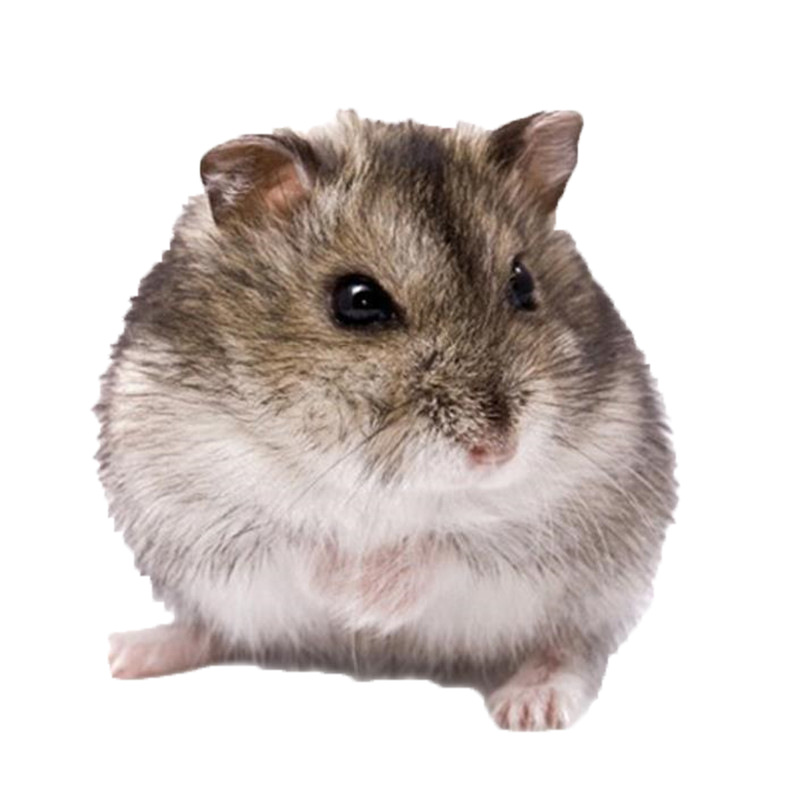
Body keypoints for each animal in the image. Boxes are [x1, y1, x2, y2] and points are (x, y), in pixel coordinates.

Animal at [96, 110, 677, 731]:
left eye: (523, 283)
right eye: (358, 300)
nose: (497, 450)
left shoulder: (575, 492)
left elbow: (448, 544)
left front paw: (374, 603)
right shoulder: (204, 491)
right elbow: (302, 540)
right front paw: (354, 601)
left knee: (573, 648)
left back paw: (531, 706)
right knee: (215, 629)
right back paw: (127, 654)